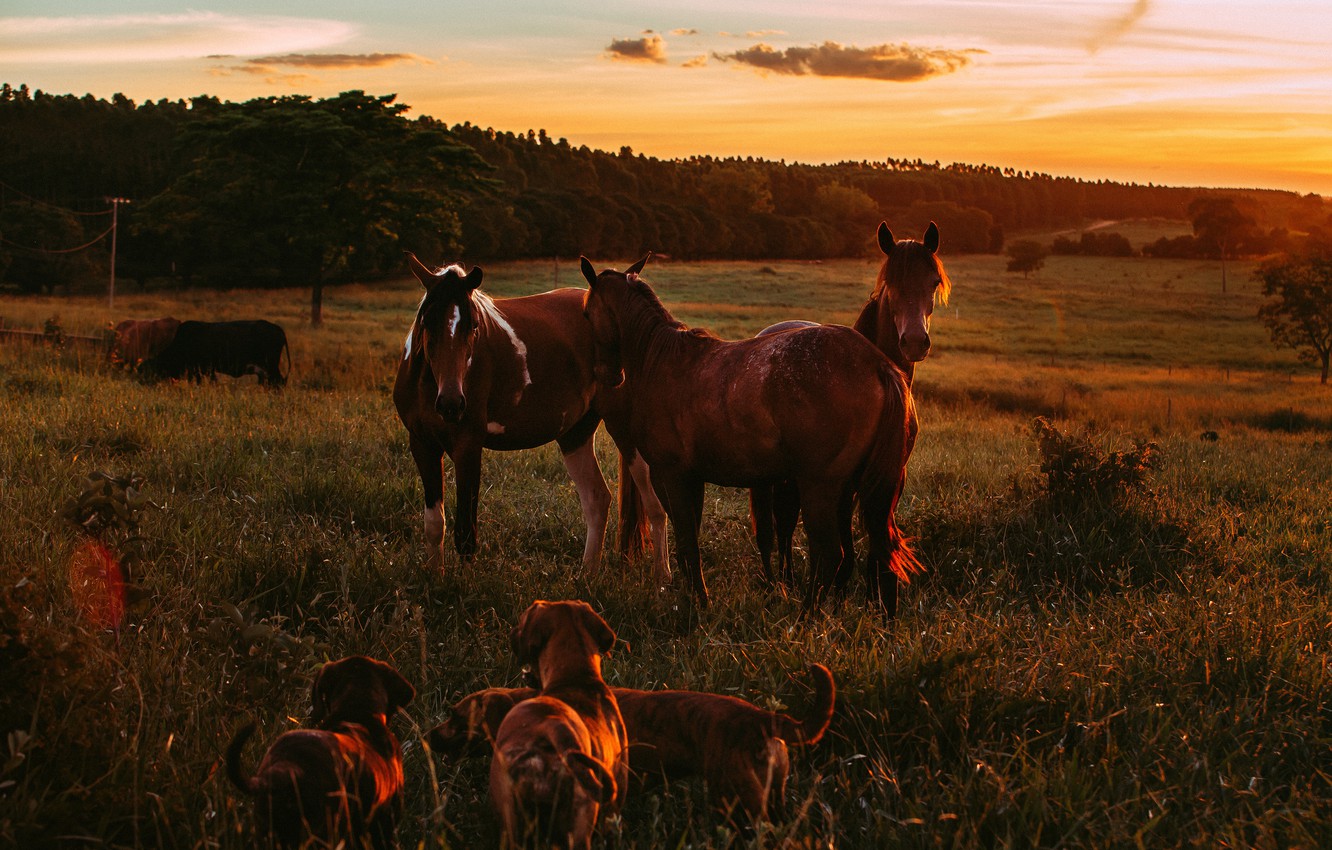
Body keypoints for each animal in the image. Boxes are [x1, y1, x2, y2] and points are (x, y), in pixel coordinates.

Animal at [394, 255, 615, 572]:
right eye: (427, 321)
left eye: (473, 325)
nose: (451, 403)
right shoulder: (422, 445)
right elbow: (435, 525)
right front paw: (436, 577)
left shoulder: (468, 447)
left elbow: (466, 532)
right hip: (576, 434)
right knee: (597, 499)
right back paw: (587, 574)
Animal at [579, 255, 920, 614]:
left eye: (587, 313)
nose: (608, 375)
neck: (662, 360)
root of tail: (878, 365)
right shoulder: (692, 478)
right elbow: (690, 542)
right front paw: (693, 597)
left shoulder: (671, 476)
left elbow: (686, 542)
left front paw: (698, 602)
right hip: (861, 489)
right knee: (879, 552)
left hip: (821, 486)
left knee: (830, 555)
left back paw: (804, 618)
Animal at [750, 222, 951, 609]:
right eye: (890, 282)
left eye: (934, 281)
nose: (914, 341)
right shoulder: (842, 486)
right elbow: (844, 552)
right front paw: (839, 599)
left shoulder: (892, 479)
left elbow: (876, 549)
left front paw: (872, 600)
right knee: (775, 528)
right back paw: (778, 582)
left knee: (785, 520)